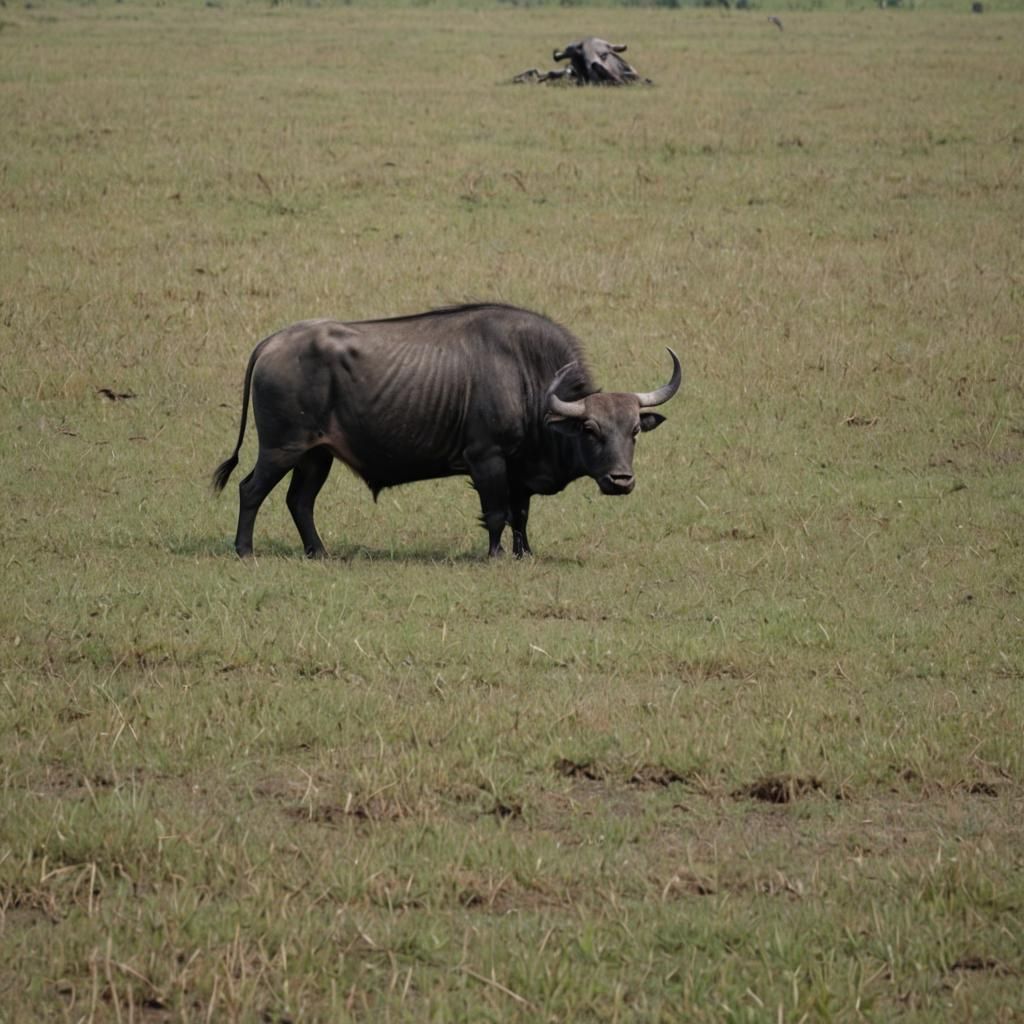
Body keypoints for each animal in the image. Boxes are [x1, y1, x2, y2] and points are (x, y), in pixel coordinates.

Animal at [212, 303, 680, 558]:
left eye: (634, 430)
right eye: (589, 429)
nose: (621, 480)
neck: (526, 378)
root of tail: (273, 342)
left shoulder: (519, 471)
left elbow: (521, 515)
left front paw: (524, 553)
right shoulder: (487, 460)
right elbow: (497, 514)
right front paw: (495, 556)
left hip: (316, 455)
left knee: (300, 501)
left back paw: (319, 553)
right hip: (282, 449)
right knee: (251, 490)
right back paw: (244, 549)